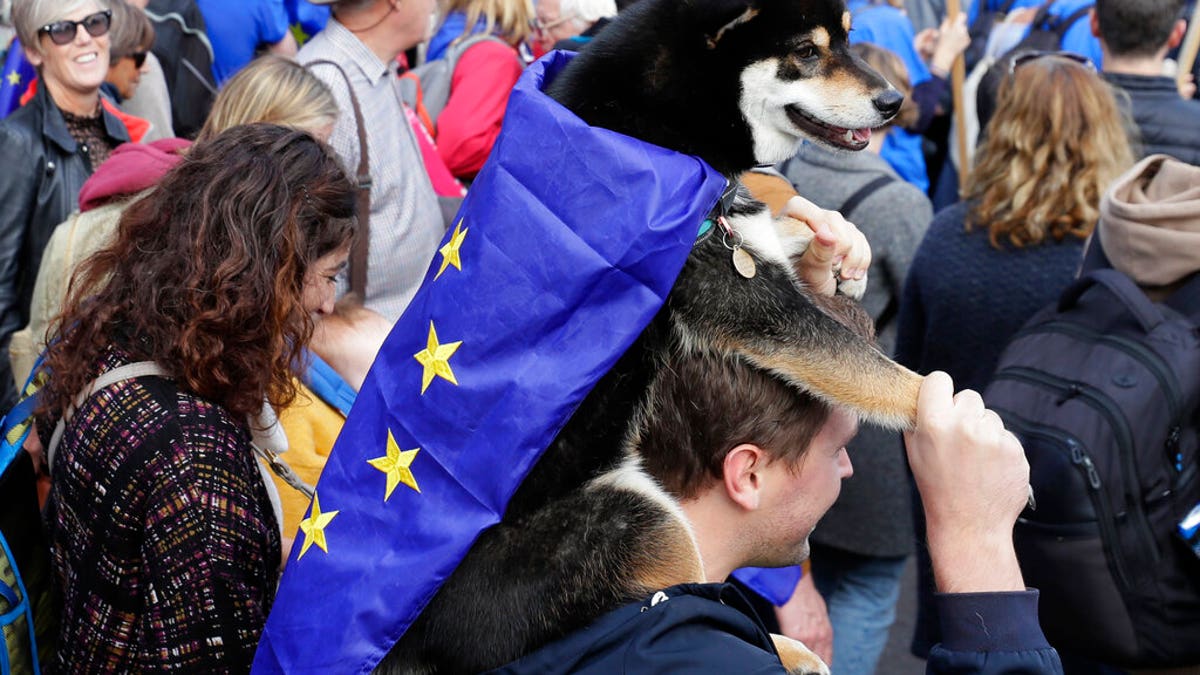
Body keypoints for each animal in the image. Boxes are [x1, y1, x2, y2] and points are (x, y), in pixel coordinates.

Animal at [379, 0, 921, 667]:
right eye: (806, 51)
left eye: (846, 38)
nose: (895, 101)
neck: (659, 126)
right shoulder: (746, 300)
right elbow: (876, 371)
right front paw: (956, 412)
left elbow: (781, 226)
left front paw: (838, 245)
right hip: (642, 517)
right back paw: (790, 651)